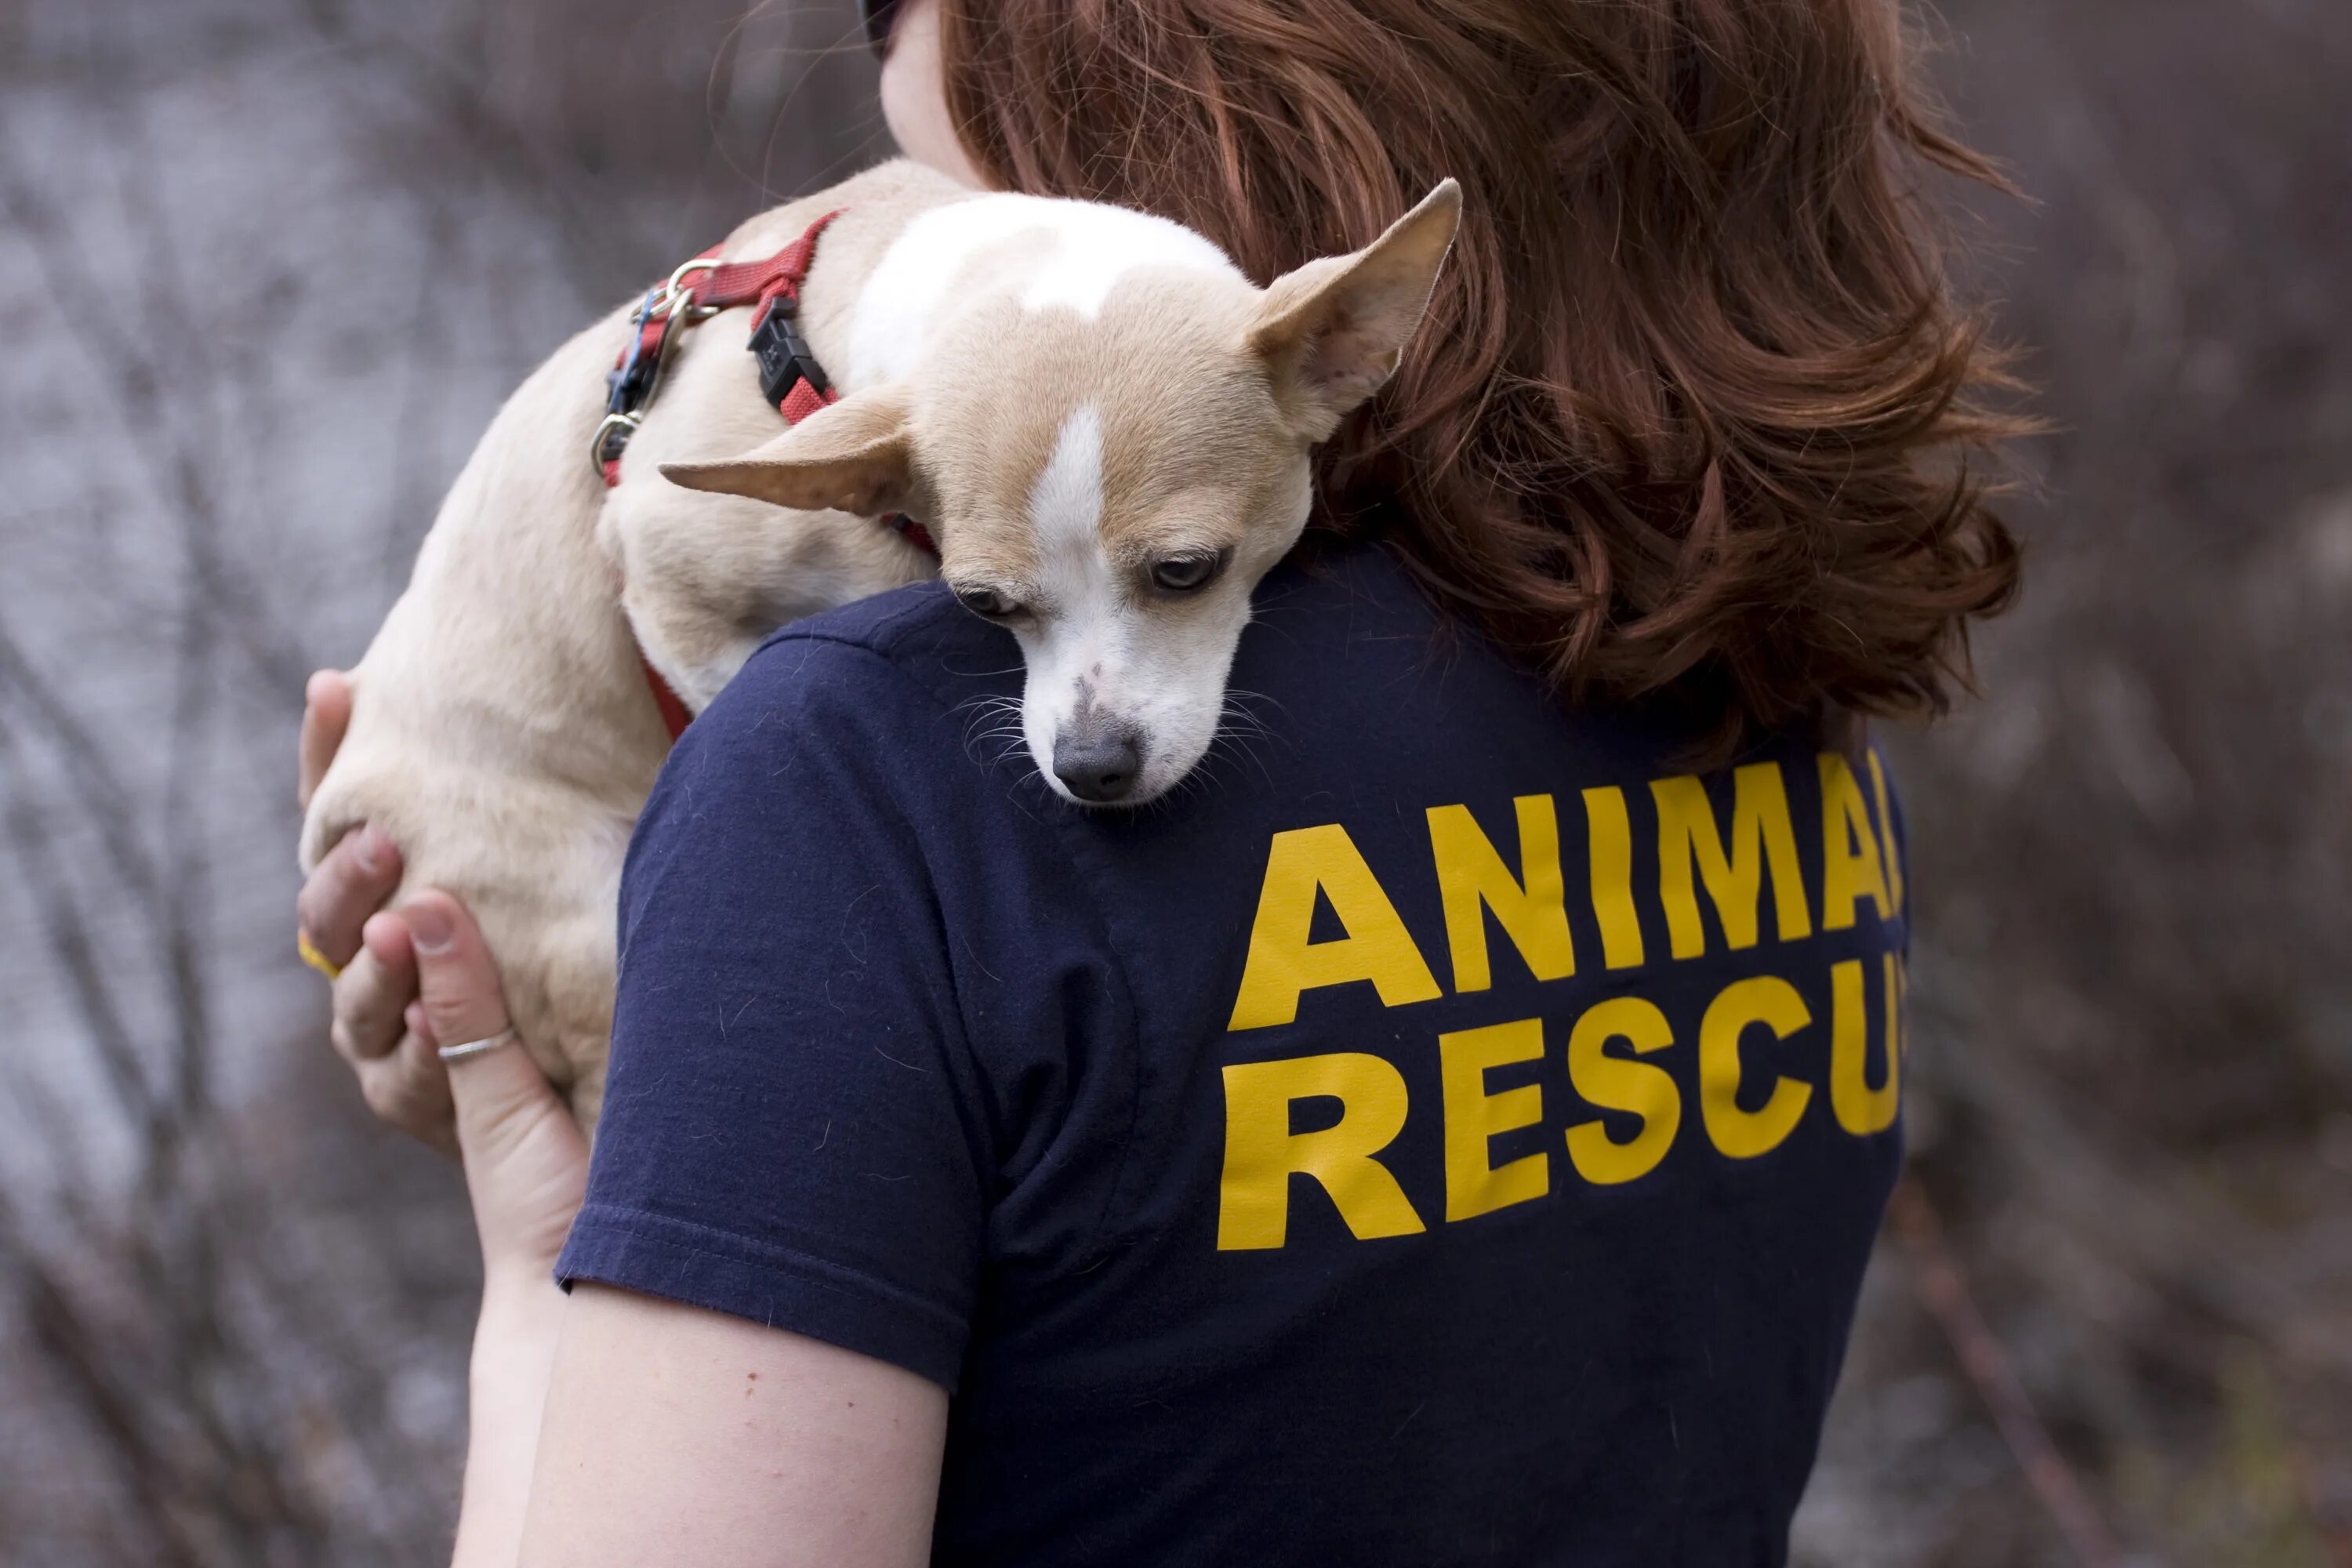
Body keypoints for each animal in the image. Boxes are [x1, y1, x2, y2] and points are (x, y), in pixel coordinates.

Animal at [303, 162, 1458, 1128]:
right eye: (983, 604)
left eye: (1187, 571)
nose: (1091, 768)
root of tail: (336, 810)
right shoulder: (660, 570)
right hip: (558, 906)